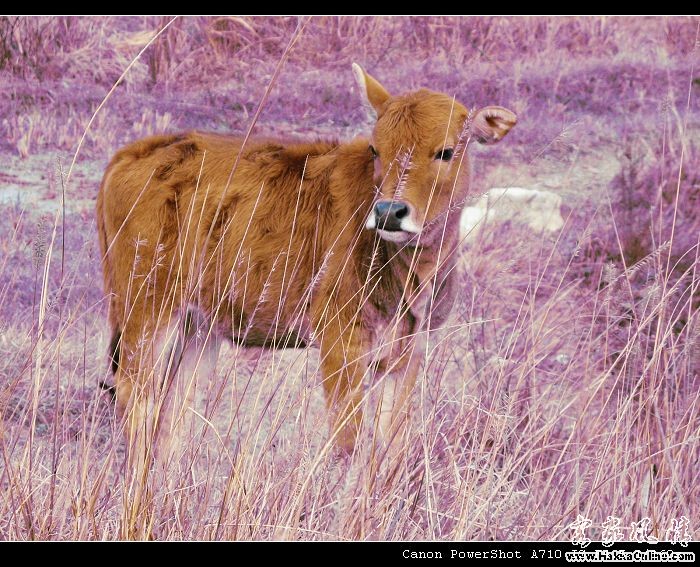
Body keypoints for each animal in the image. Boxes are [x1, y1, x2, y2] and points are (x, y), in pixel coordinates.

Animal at [97, 62, 516, 470]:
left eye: (446, 151)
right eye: (376, 149)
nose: (389, 212)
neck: (411, 272)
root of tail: (133, 153)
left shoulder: (407, 352)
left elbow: (390, 446)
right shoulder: (340, 339)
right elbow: (348, 446)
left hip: (197, 330)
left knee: (172, 417)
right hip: (145, 313)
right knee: (135, 402)